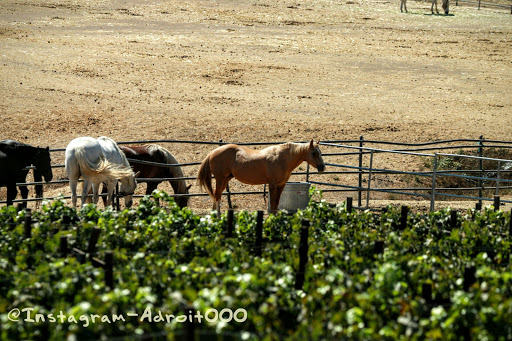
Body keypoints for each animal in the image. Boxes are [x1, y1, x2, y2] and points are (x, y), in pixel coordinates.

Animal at [198, 140, 326, 215]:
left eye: (320, 152)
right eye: (314, 153)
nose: (322, 167)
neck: (281, 158)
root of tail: (213, 152)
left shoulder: (281, 185)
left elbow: (277, 203)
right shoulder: (273, 185)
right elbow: (273, 204)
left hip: (225, 179)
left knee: (217, 195)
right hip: (220, 179)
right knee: (217, 196)